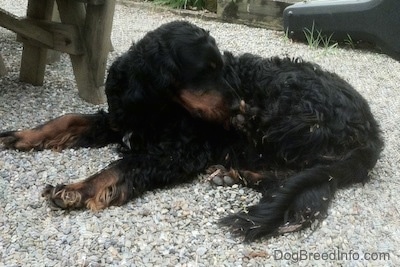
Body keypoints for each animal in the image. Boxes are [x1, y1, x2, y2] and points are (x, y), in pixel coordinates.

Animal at [0, 21, 382, 243]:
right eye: (204, 71)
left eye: (222, 68)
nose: (241, 108)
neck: (156, 105)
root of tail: (372, 131)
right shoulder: (120, 120)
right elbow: (66, 119)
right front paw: (21, 135)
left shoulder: (178, 152)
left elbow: (122, 166)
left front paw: (77, 190)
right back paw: (236, 174)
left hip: (283, 113)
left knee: (298, 171)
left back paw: (237, 172)